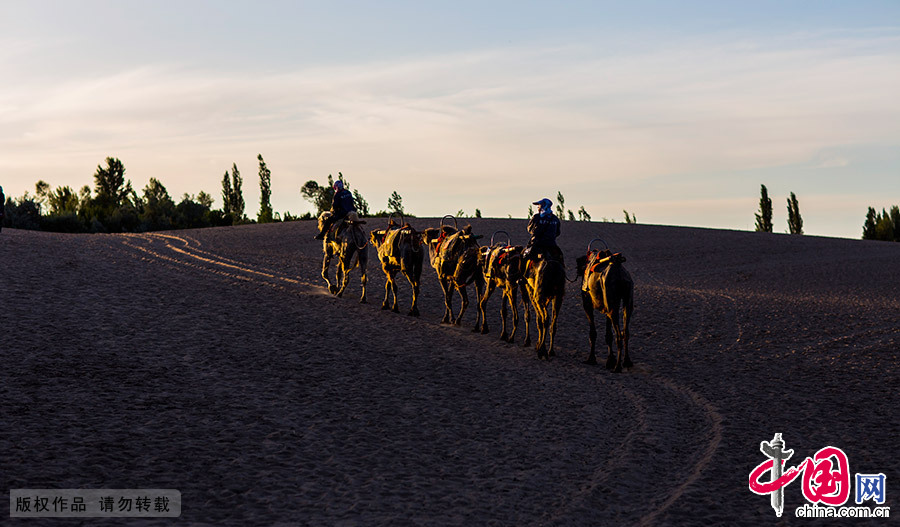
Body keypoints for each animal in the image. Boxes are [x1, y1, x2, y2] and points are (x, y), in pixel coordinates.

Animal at [576, 245, 632, 374]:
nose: (577, 270)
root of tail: (619, 274)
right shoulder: (607, 307)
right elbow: (608, 334)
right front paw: (610, 360)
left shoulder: (587, 304)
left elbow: (593, 332)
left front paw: (591, 358)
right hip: (627, 299)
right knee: (625, 331)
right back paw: (627, 362)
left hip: (612, 303)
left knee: (618, 335)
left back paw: (617, 367)